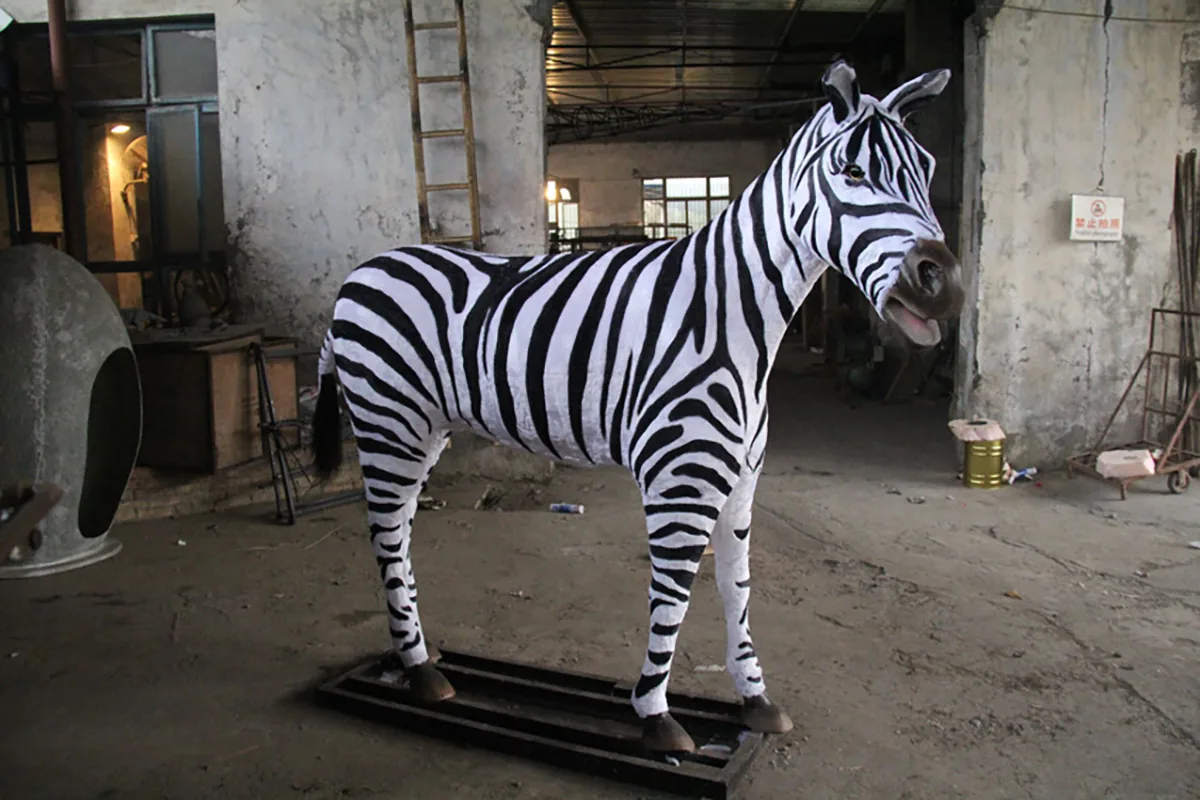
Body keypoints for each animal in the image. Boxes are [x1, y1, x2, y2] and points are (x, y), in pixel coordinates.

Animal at [310, 59, 965, 754]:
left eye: (926, 168)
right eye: (851, 172)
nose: (944, 284)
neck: (731, 319)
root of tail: (359, 275)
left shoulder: (741, 482)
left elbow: (737, 587)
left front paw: (754, 698)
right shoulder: (680, 481)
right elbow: (673, 596)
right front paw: (654, 713)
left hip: (421, 429)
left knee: (400, 533)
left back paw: (419, 655)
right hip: (388, 421)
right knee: (386, 536)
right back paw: (418, 669)